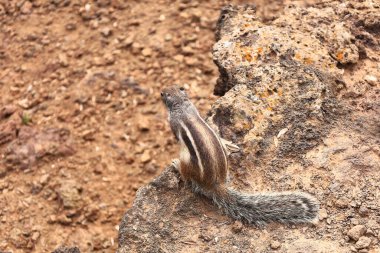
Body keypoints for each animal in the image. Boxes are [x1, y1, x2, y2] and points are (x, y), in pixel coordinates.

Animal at [160, 86, 318, 226]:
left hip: (187, 162)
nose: (162, 91)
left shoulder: (173, 123)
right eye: (176, 87)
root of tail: (215, 184)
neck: (181, 104)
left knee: (186, 176)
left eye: (163, 93)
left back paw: (177, 165)